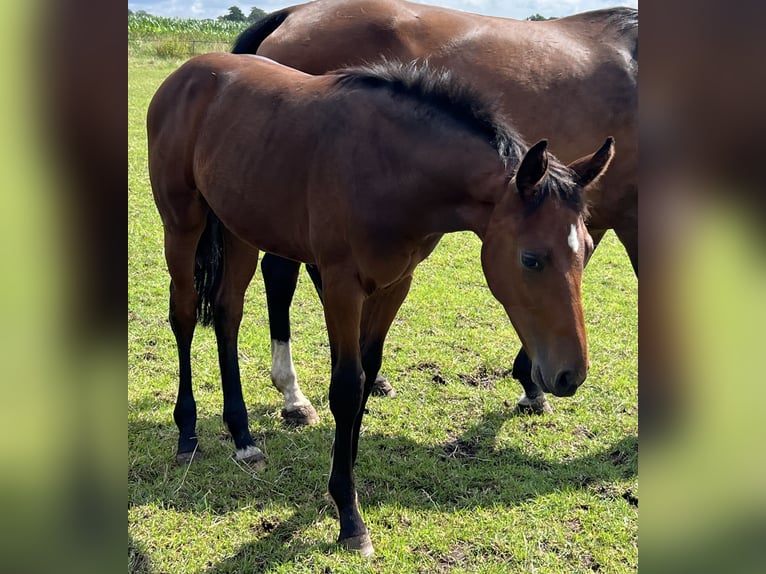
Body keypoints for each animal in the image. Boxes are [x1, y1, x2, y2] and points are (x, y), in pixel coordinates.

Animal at [147, 51, 616, 556]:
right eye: (531, 258)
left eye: (589, 247)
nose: (570, 375)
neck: (391, 169)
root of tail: (186, 73)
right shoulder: (341, 284)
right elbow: (347, 387)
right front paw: (349, 516)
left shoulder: (396, 283)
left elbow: (368, 373)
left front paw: (343, 482)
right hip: (182, 224)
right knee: (184, 314)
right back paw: (188, 433)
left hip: (238, 228)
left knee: (228, 315)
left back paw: (243, 437)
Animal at [230, 0, 640, 424]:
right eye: (530, 260)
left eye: (586, 248)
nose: (570, 376)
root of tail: (293, 12)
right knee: (281, 275)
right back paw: (294, 396)